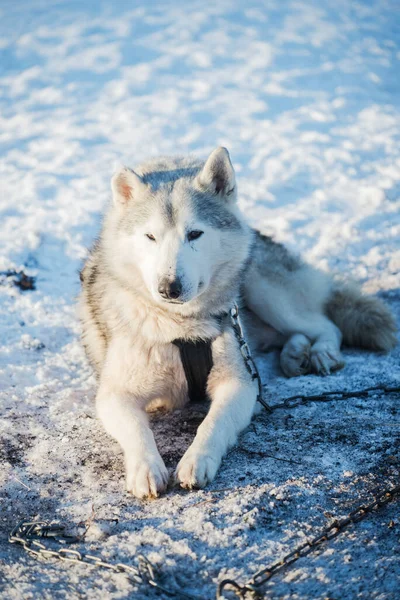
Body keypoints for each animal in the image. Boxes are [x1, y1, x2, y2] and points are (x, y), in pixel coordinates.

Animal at [79, 148, 398, 500]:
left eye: (195, 233)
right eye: (150, 236)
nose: (168, 287)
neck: (181, 327)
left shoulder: (241, 384)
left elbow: (213, 423)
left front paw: (196, 460)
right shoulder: (115, 394)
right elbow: (137, 430)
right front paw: (146, 469)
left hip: (263, 291)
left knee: (326, 325)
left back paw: (320, 353)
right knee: (292, 335)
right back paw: (294, 355)